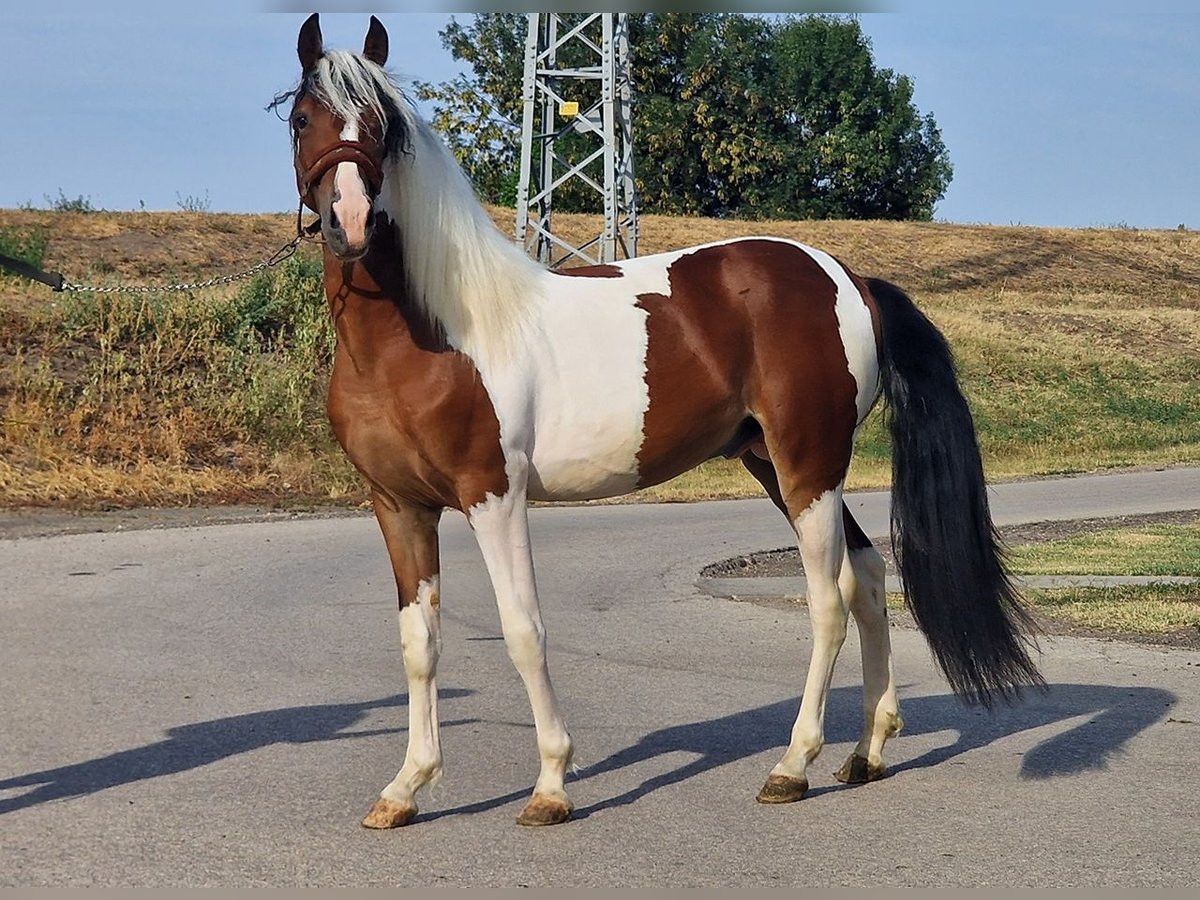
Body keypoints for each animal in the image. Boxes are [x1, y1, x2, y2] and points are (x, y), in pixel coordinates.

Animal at [278, 15, 1041, 830]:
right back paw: (866, 753)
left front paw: (551, 785)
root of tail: (848, 278)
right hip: (782, 467)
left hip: (807, 465)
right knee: (866, 576)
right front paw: (406, 788)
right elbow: (419, 643)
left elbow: (523, 631)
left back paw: (792, 766)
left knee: (829, 600)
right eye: (304, 119)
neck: (433, 332)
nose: (350, 223)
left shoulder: (493, 498)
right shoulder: (399, 507)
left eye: (382, 127)